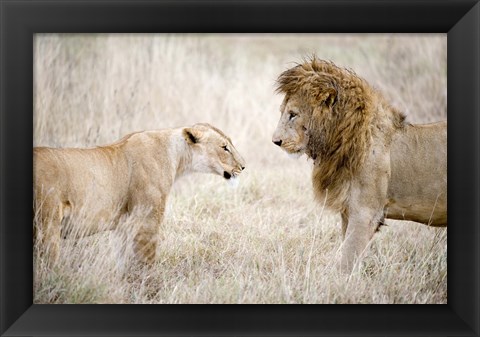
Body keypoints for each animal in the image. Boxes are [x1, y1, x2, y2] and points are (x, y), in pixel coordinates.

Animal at [32, 122, 248, 264]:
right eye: (224, 147)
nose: (243, 166)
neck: (177, 157)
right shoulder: (147, 222)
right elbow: (146, 265)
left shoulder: (123, 226)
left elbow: (123, 264)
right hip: (47, 227)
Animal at [272, 58, 448, 272]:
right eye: (284, 112)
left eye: (293, 114)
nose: (275, 141)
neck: (340, 141)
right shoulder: (348, 211)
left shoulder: (365, 213)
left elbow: (347, 259)